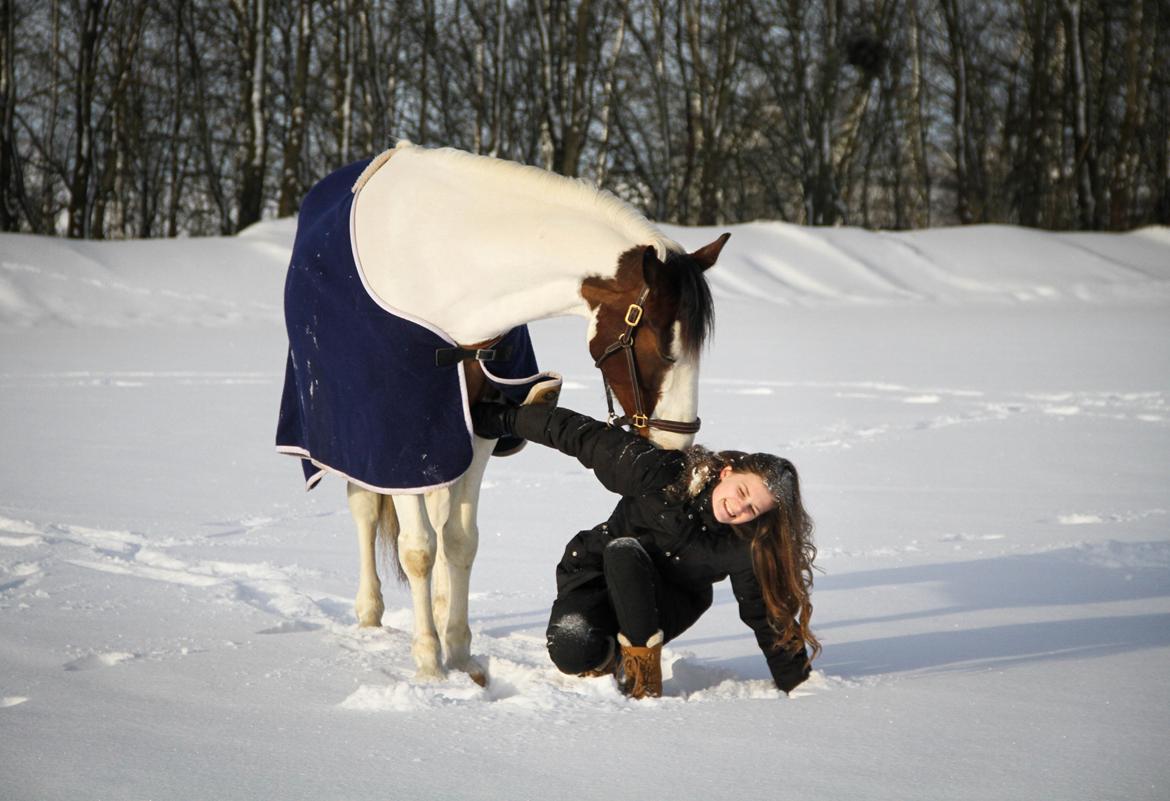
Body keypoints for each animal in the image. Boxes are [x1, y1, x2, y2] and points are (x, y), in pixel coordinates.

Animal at [277, 139, 725, 682]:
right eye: (660, 346)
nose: (677, 443)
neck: (444, 268)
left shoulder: (479, 429)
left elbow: (459, 539)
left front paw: (459, 649)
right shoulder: (396, 437)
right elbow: (418, 549)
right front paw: (428, 661)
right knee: (364, 508)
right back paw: (370, 613)